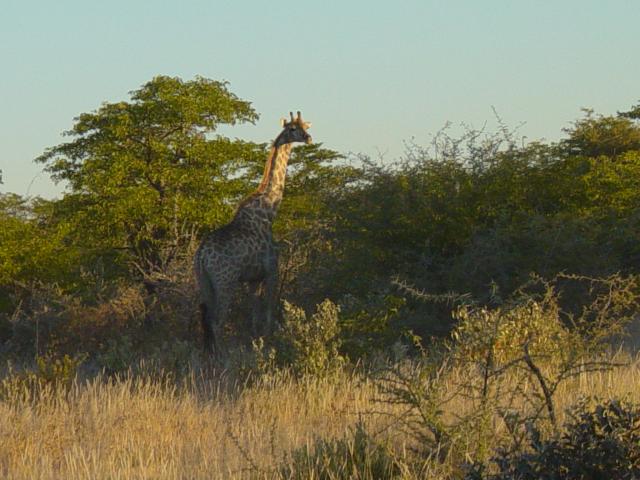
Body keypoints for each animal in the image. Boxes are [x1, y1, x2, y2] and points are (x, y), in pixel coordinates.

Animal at [194, 111, 312, 355]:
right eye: (292, 129)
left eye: (305, 126)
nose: (308, 138)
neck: (269, 210)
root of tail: (201, 255)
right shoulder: (271, 271)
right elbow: (267, 313)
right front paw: (267, 344)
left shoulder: (253, 279)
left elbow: (254, 317)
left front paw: (254, 343)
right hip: (225, 281)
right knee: (217, 320)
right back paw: (223, 355)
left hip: (204, 282)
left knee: (206, 317)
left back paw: (209, 354)